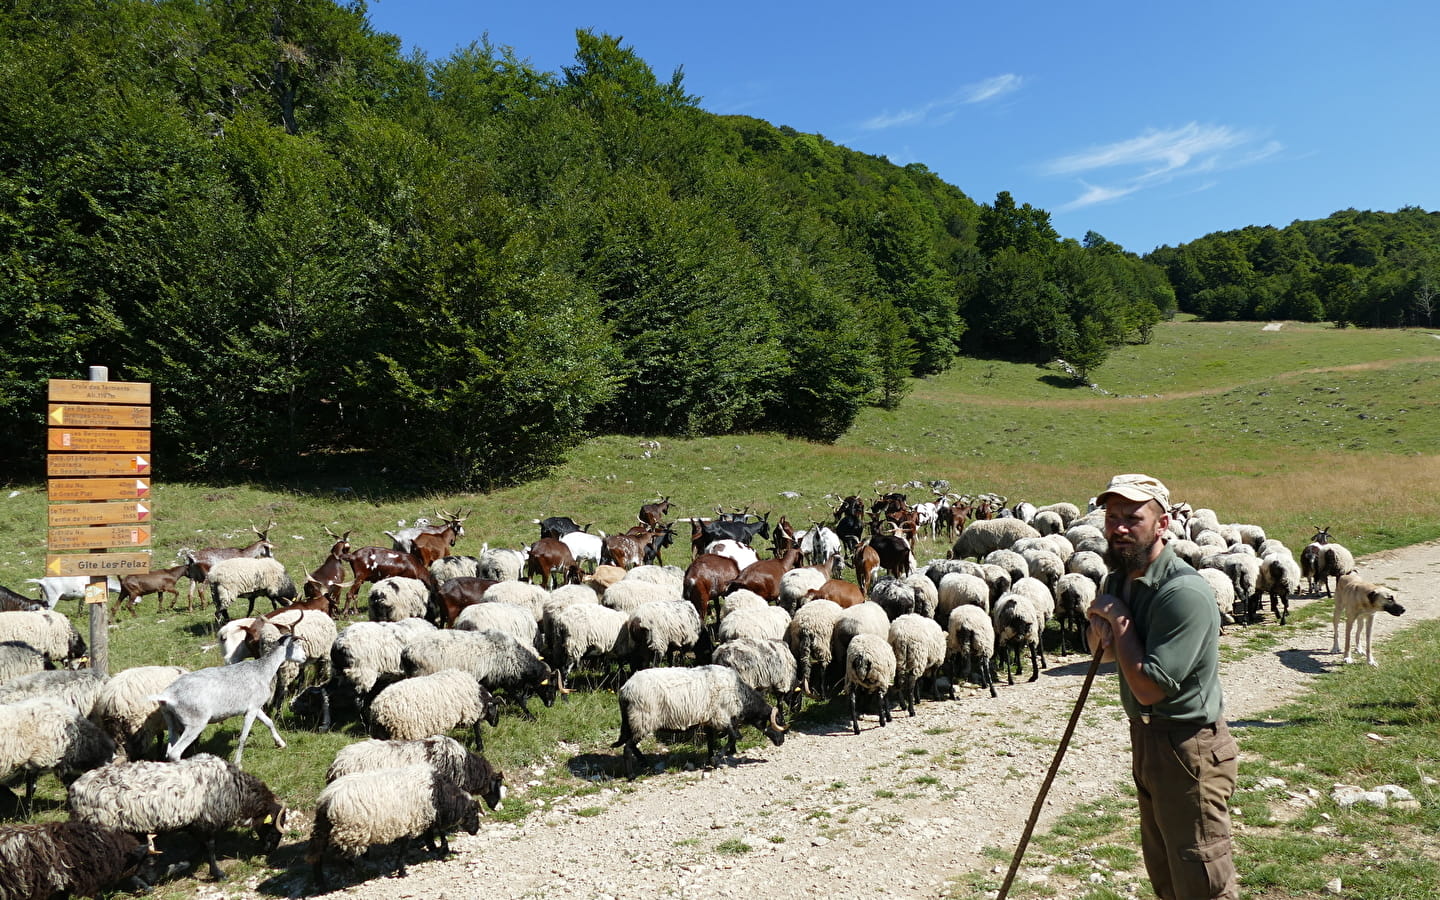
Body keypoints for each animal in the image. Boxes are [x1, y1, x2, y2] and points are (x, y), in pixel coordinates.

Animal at [66, 748, 286, 875]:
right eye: (274, 827)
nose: (269, 850)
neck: (234, 788)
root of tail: (74, 790)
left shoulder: (193, 823)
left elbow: (201, 845)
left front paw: (191, 859)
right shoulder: (206, 820)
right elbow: (211, 846)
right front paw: (217, 873)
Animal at [306, 760, 480, 887]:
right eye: (473, 813)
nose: (476, 830)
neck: (437, 793)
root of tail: (327, 798)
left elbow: (434, 831)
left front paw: (440, 848)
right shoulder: (412, 821)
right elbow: (405, 847)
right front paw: (402, 871)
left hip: (324, 828)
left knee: (317, 855)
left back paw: (320, 883)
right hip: (350, 831)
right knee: (341, 856)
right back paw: (359, 873)